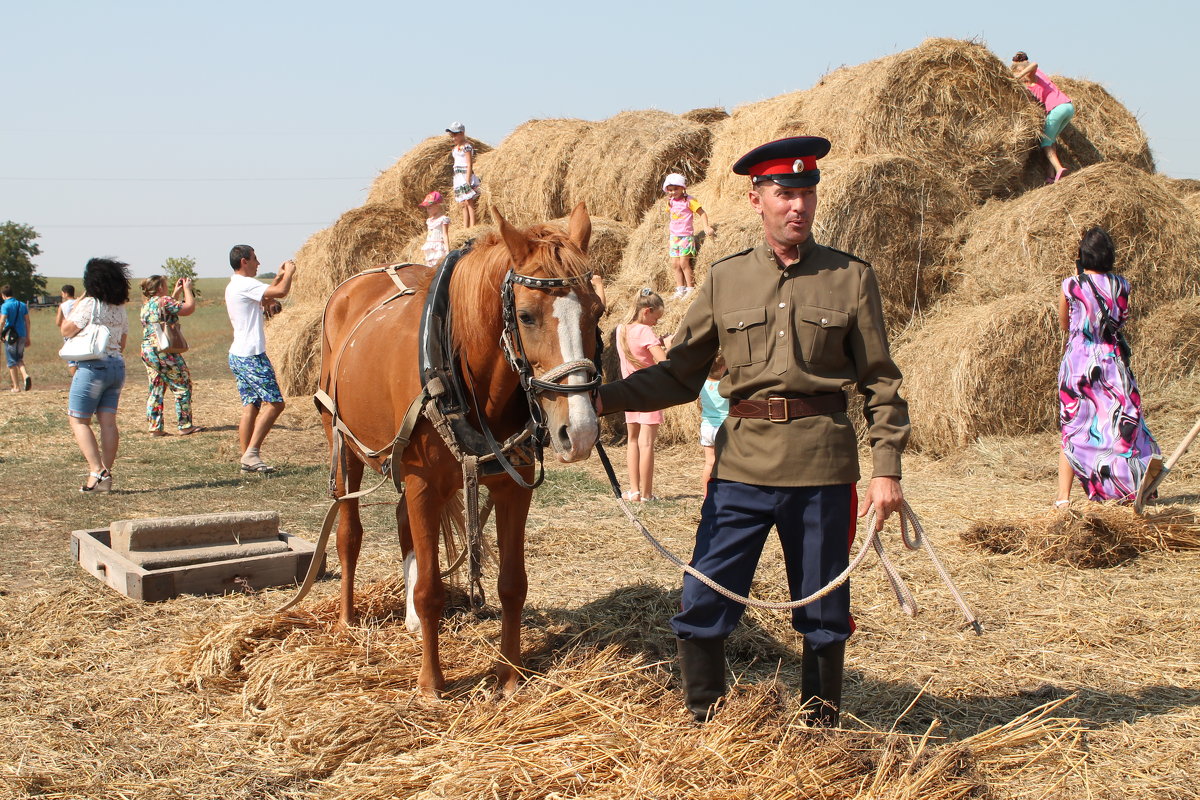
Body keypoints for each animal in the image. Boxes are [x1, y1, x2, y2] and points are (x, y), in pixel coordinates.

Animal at [319, 205, 604, 695]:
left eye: (598, 310)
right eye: (526, 315)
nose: (580, 432)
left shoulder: (513, 487)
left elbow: (512, 584)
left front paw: (509, 676)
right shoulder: (422, 483)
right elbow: (430, 590)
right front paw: (431, 684)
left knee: (405, 528)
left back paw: (412, 623)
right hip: (347, 450)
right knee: (348, 533)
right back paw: (346, 618)